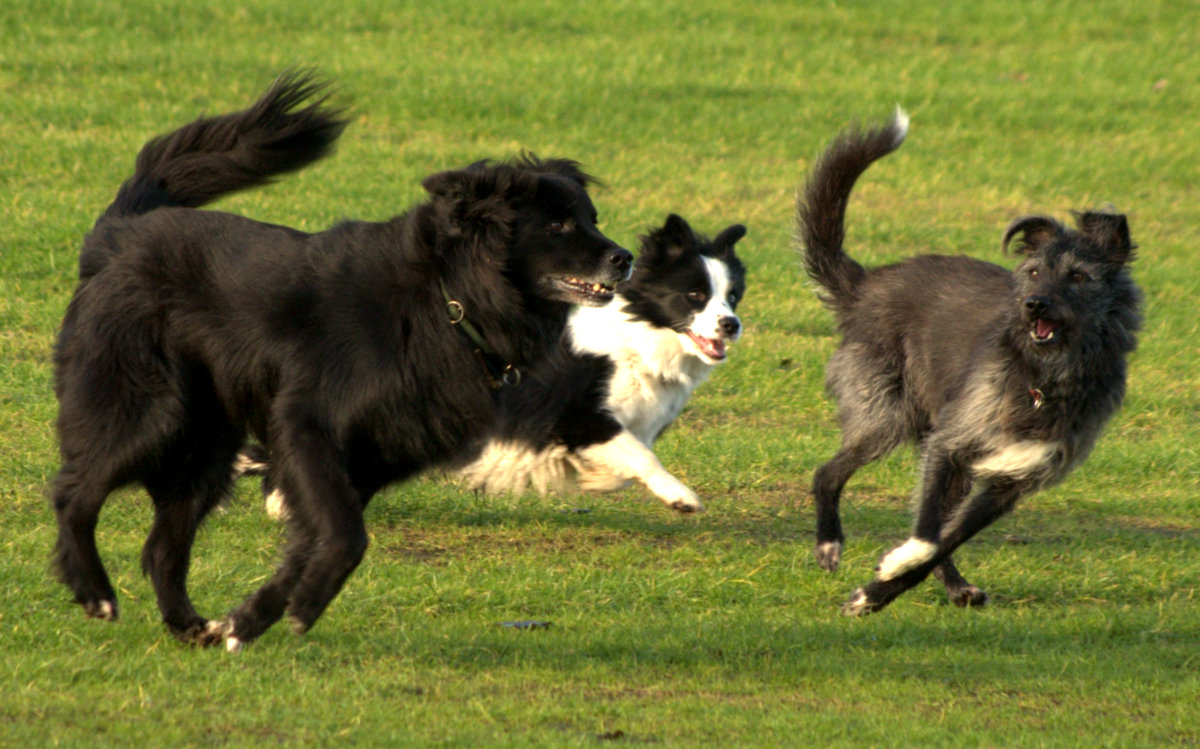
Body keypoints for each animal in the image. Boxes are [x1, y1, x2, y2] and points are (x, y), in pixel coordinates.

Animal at [51, 71, 633, 648]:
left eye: (592, 218)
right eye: (557, 226)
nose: (624, 258)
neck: (446, 297)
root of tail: (117, 236)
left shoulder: (368, 458)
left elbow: (314, 542)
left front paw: (247, 622)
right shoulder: (308, 424)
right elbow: (345, 536)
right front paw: (301, 609)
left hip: (206, 448)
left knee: (161, 548)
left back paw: (189, 627)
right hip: (150, 412)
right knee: (74, 492)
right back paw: (94, 591)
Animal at [801, 109, 1137, 614]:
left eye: (1079, 277)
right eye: (1034, 272)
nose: (1034, 305)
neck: (1043, 379)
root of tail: (866, 286)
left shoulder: (1008, 483)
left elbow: (943, 539)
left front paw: (878, 590)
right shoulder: (949, 444)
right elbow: (927, 537)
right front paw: (891, 568)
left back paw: (954, 585)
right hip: (888, 416)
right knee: (827, 474)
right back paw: (829, 543)